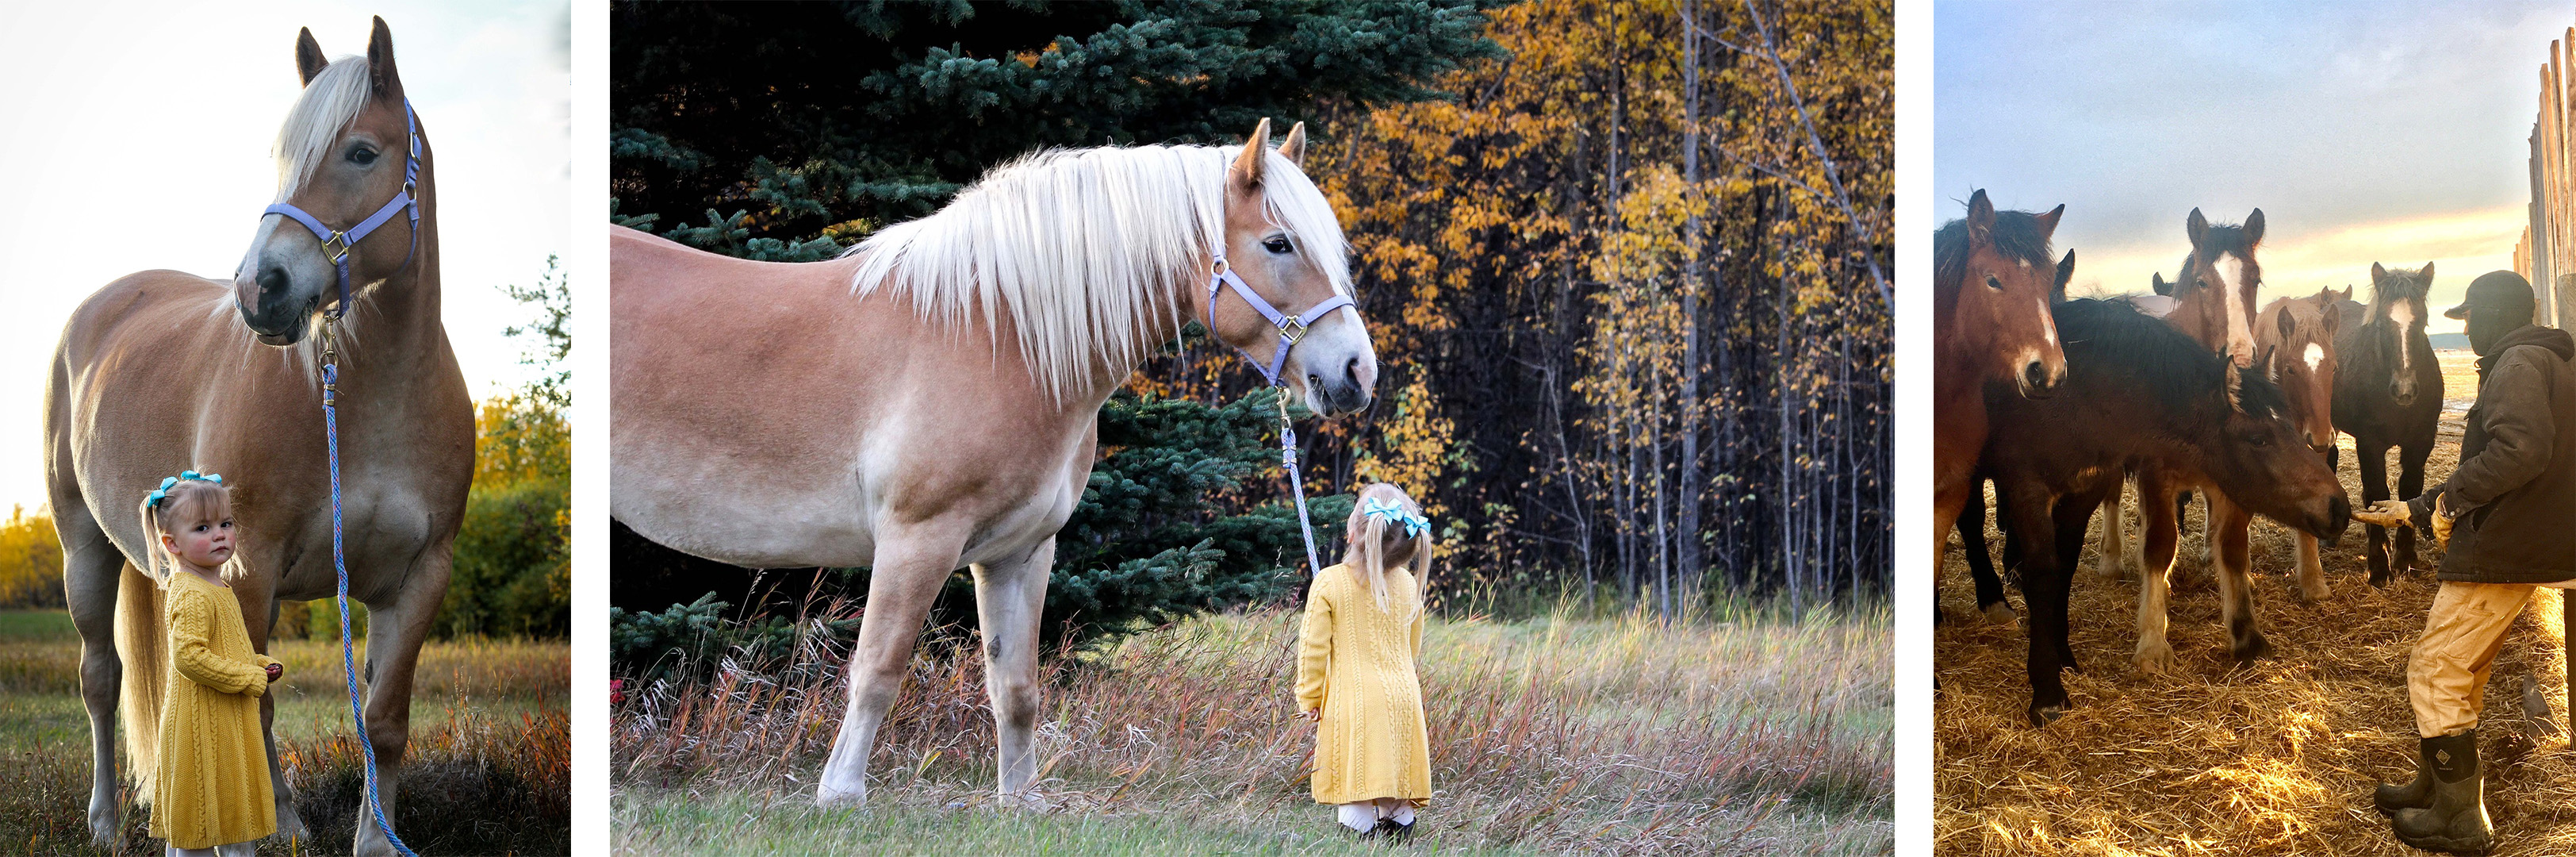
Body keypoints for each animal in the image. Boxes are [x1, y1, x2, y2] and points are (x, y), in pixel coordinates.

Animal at [40, 18, 473, 849]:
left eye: (361, 152)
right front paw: (276, 827)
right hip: (85, 551)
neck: (373, 399)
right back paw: (107, 821)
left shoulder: (418, 578)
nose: (259, 289)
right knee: (101, 679)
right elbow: (254, 701)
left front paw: (376, 838)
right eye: (279, 157)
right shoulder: (250, 569)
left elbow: (384, 718)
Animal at [613, 118, 1380, 802]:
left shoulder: (1022, 551)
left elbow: (1016, 687)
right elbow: (878, 668)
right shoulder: (917, 539)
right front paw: (840, 794)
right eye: (1279, 242)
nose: (1357, 373)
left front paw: (1021, 800)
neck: (993, 335)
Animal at [1978, 297, 2349, 725]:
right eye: (2259, 438)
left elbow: (2232, 551)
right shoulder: (2146, 475)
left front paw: (2247, 634)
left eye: (2289, 426)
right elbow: (2156, 547)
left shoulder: (2223, 486)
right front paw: (2152, 644)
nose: (2340, 507)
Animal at [2329, 259, 2442, 584]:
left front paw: (2406, 559)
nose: (2404, 390)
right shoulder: (2369, 444)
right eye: (2380, 324)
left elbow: (2410, 491)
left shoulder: (2420, 443)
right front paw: (2379, 567)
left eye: (2423, 321)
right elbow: (2378, 492)